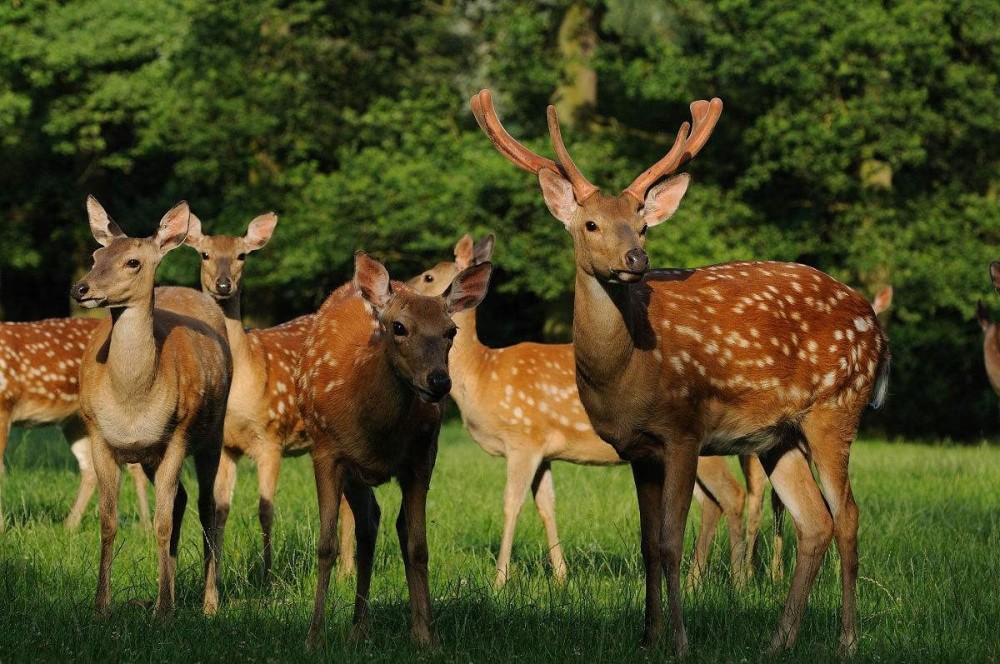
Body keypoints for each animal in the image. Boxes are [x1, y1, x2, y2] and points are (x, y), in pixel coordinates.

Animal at [0, 316, 150, 528]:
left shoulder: (4, 405)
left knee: (134, 465)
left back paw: (146, 525)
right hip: (75, 421)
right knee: (90, 468)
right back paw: (69, 526)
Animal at [73, 196, 232, 616]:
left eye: (132, 261)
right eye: (96, 255)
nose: (81, 288)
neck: (133, 403)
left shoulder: (177, 436)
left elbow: (160, 524)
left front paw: (163, 613)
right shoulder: (99, 434)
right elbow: (108, 522)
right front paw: (101, 607)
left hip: (213, 433)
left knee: (209, 506)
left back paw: (208, 603)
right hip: (150, 455)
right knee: (182, 500)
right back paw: (172, 590)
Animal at [296, 252, 492, 644]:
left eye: (451, 331)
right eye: (399, 327)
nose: (439, 382)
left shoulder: (421, 456)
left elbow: (418, 546)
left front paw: (428, 639)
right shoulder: (325, 451)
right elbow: (325, 545)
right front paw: (313, 638)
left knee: (384, 524)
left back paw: (376, 627)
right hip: (351, 468)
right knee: (368, 523)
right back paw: (357, 629)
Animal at [406, 231, 752, 588]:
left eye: (428, 276)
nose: (398, 288)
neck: (482, 376)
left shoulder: (523, 437)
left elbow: (511, 503)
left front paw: (500, 581)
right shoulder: (544, 450)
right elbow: (546, 506)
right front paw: (561, 576)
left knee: (732, 494)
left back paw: (739, 581)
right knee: (710, 502)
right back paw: (696, 581)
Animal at [472, 91, 896, 656]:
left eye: (642, 222)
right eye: (591, 224)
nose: (636, 257)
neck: (627, 373)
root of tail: (877, 330)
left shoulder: (683, 430)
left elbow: (672, 540)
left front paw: (679, 641)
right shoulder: (637, 448)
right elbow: (648, 544)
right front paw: (646, 637)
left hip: (836, 408)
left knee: (847, 515)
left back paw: (847, 639)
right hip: (777, 436)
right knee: (814, 522)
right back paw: (778, 642)